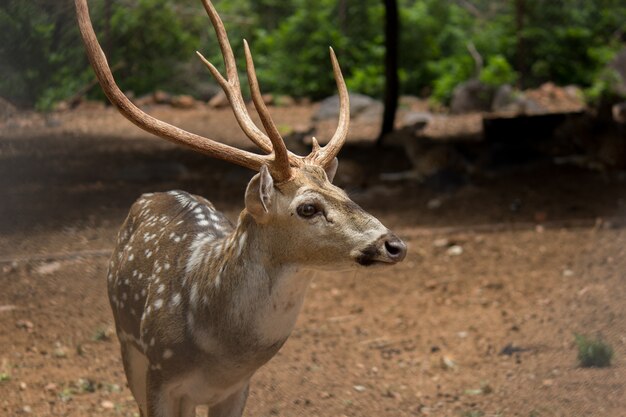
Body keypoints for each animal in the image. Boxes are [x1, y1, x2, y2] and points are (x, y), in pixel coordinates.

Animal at [75, 0, 408, 414]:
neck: (220, 353)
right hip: (126, 342)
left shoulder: (239, 387)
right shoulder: (159, 373)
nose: (394, 244)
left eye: (343, 190)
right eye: (308, 208)